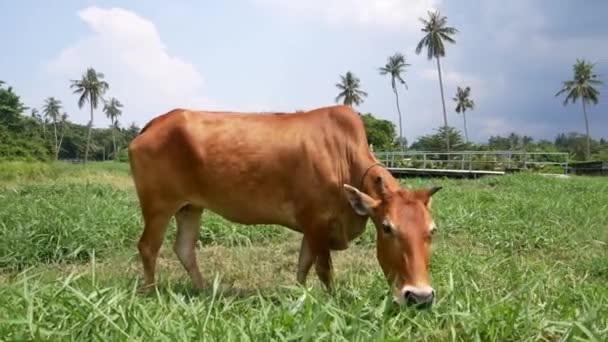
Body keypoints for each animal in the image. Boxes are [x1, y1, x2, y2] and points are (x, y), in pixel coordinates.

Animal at [128, 105, 442, 306]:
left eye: (432, 230)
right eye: (387, 228)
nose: (420, 297)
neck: (344, 156)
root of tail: (154, 123)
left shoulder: (310, 228)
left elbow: (303, 266)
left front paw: (300, 295)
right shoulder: (317, 222)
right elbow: (323, 269)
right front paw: (332, 302)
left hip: (190, 207)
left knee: (184, 249)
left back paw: (206, 292)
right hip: (158, 206)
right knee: (148, 247)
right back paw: (151, 293)